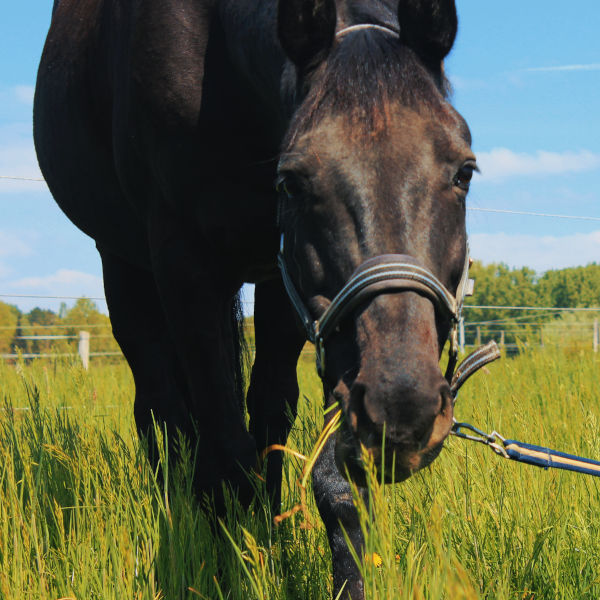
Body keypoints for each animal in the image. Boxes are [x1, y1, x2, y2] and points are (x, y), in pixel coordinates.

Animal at [35, 1, 478, 596]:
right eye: (293, 181)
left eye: (464, 171)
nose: (403, 405)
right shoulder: (184, 264)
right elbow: (225, 460)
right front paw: (229, 565)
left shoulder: (295, 287)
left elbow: (332, 478)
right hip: (125, 267)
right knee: (163, 416)